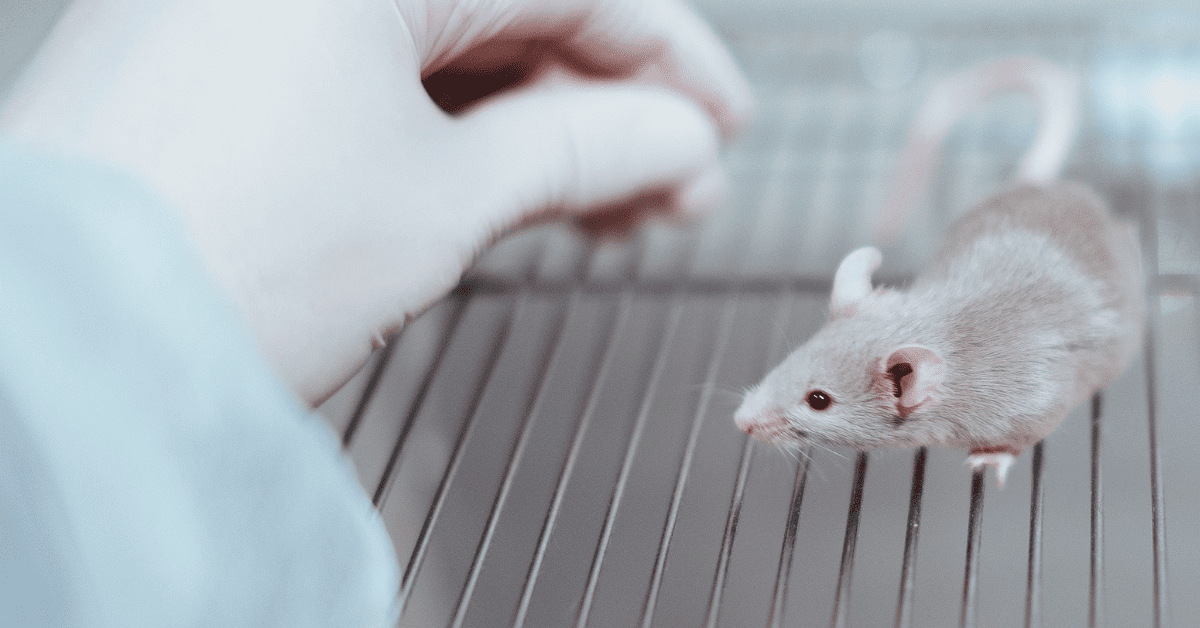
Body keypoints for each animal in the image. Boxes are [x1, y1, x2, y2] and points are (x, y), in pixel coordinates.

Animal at [734, 58, 1145, 486]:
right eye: (790, 359)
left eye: (818, 401)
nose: (740, 421)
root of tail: (1040, 181)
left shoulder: (1030, 406)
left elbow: (1015, 440)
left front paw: (989, 461)